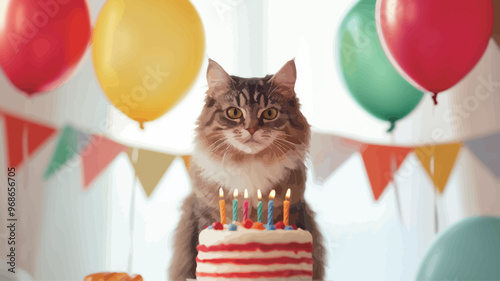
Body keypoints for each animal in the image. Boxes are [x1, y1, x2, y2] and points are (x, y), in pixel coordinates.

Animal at [168, 58, 326, 278]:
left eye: (270, 113)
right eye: (234, 112)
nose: (251, 129)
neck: (249, 161)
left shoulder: (294, 208)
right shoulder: (204, 214)